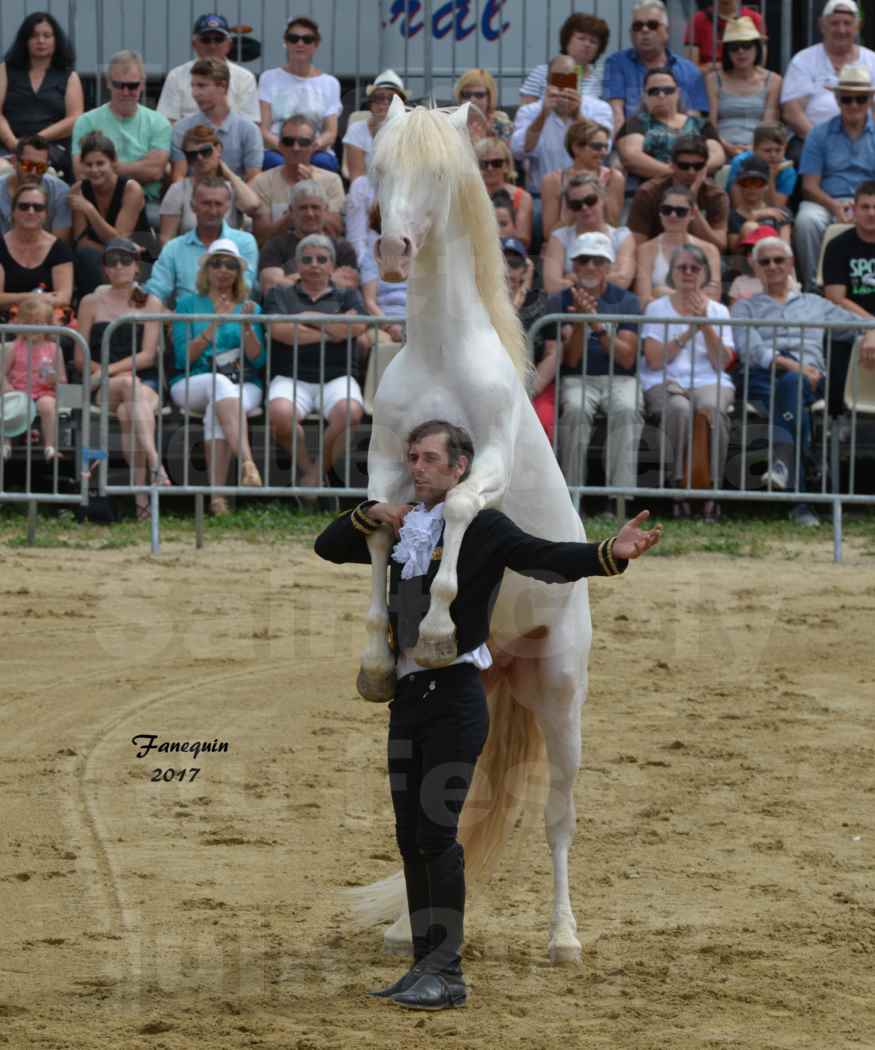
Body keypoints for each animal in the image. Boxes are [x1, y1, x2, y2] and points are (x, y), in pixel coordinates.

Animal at [350, 94, 592, 961]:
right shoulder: (385, 465)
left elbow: (454, 511)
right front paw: (378, 658)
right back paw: (400, 926)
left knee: (557, 819)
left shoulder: (482, 463)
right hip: (491, 697)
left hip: (561, 694)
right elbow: (378, 531)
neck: (444, 354)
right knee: (454, 812)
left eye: (438, 174)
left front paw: (431, 629)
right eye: (379, 165)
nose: (393, 249)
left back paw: (563, 937)